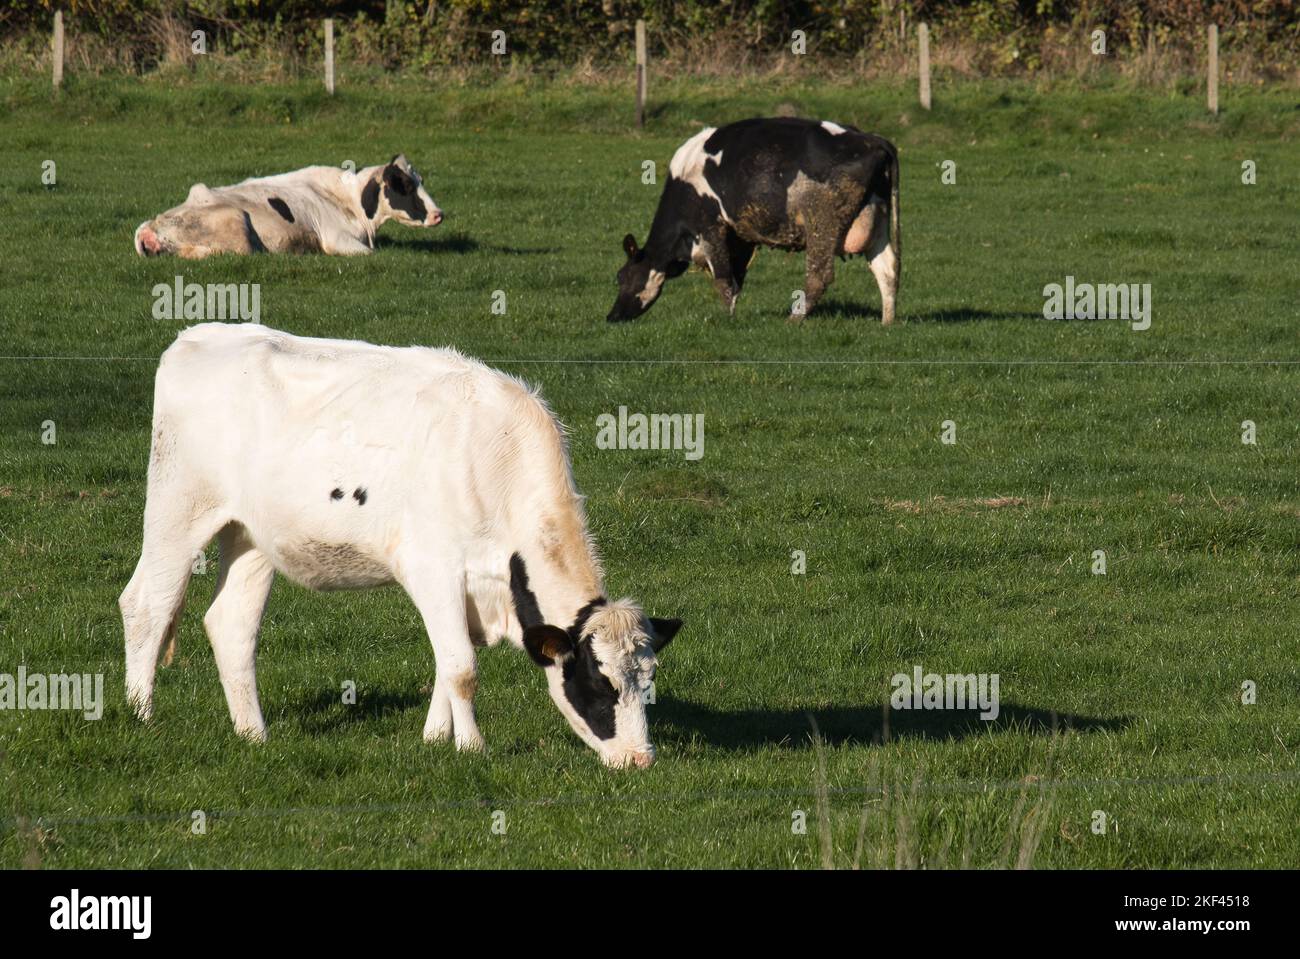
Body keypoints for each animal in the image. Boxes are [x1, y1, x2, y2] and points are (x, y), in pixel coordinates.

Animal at [119, 323, 682, 769]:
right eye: (600, 684)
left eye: (648, 682)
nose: (641, 760)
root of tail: (200, 335)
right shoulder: (432, 568)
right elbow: (461, 667)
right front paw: (471, 748)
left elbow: (446, 661)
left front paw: (435, 738)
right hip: (178, 508)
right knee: (147, 605)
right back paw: (141, 715)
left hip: (250, 536)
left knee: (231, 625)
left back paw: (253, 735)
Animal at [132, 154, 442, 259]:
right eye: (406, 186)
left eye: (421, 180)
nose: (439, 214)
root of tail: (152, 225)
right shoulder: (337, 240)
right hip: (235, 225)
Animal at [608, 118, 900, 324]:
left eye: (621, 276)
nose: (611, 316)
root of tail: (873, 140)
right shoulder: (740, 237)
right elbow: (736, 278)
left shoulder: (710, 225)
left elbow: (723, 279)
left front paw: (727, 321)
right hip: (878, 220)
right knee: (888, 269)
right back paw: (886, 322)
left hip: (821, 220)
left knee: (820, 275)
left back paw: (793, 319)